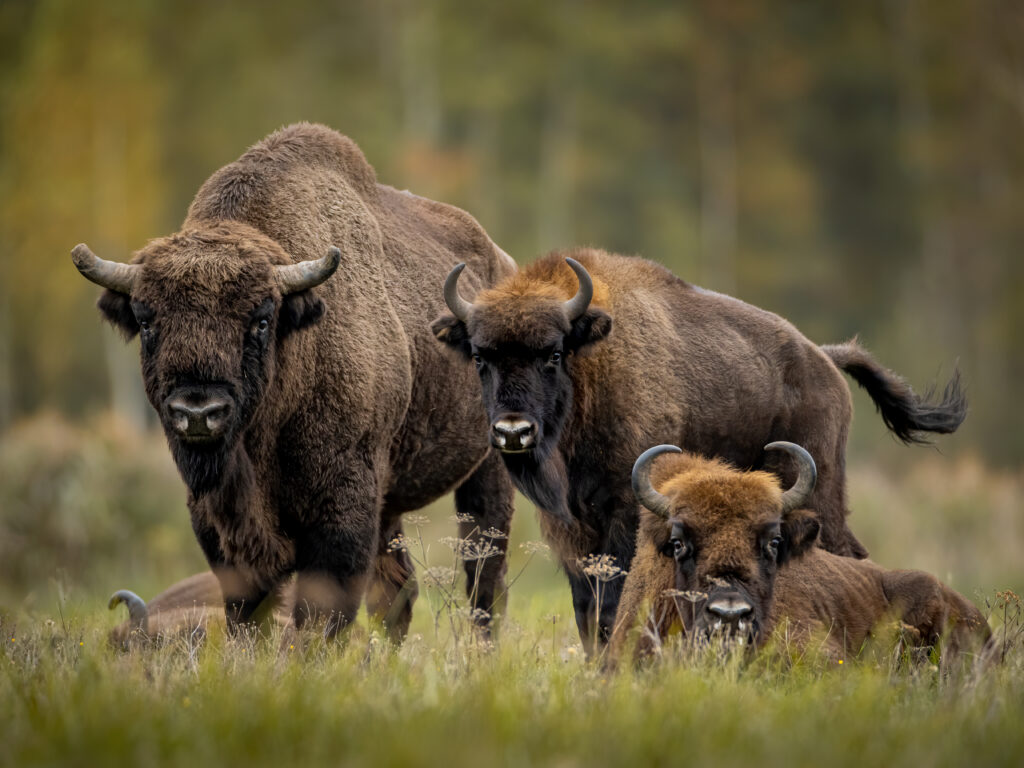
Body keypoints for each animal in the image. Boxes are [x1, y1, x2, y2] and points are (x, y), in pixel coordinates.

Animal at [74, 124, 520, 643]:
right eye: (146, 321)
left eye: (261, 319)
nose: (198, 413)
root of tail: (505, 266)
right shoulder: (218, 523)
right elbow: (248, 612)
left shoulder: (342, 510)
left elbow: (322, 615)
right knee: (400, 592)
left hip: (490, 468)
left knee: (483, 577)